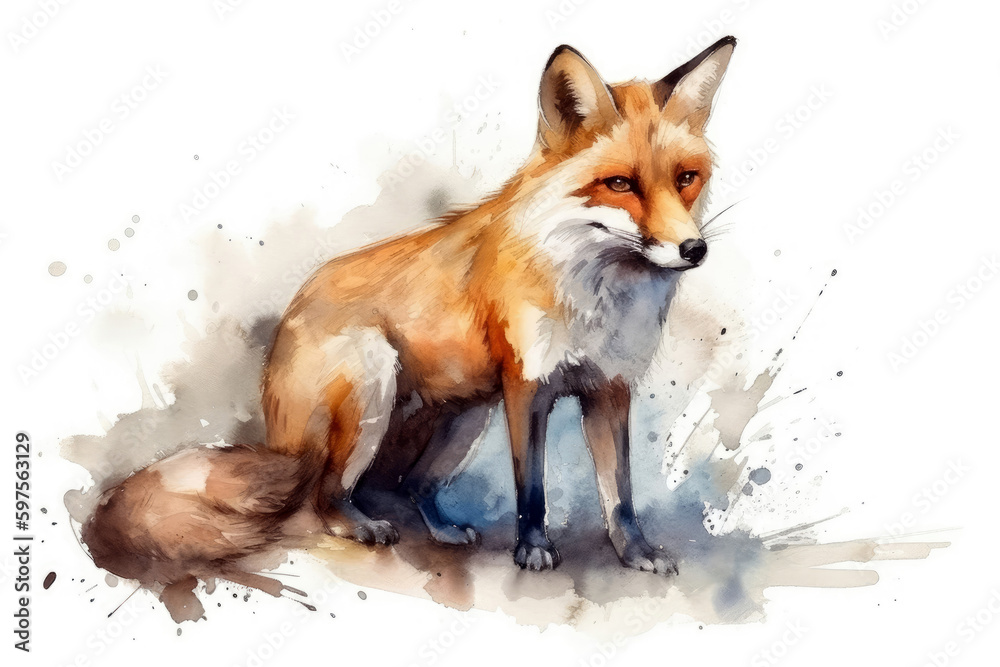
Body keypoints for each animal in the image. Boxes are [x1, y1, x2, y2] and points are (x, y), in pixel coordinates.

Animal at [83, 36, 738, 606]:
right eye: (620, 183)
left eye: (686, 178)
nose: (694, 249)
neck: (597, 295)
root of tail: (275, 433)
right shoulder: (526, 387)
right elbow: (532, 490)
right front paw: (532, 550)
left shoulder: (609, 387)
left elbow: (619, 494)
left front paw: (636, 553)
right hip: (374, 379)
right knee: (323, 498)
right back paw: (359, 525)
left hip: (466, 415)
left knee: (410, 486)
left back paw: (442, 528)